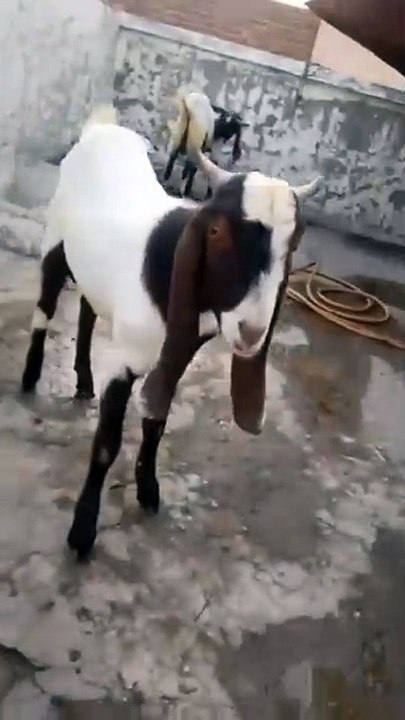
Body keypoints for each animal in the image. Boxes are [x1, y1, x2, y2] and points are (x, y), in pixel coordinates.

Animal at [21, 105, 322, 560]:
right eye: (216, 231)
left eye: (294, 242)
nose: (252, 332)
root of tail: (101, 128)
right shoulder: (126, 355)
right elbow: (108, 442)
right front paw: (82, 532)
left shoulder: (180, 349)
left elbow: (157, 419)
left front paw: (148, 490)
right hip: (55, 239)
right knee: (46, 307)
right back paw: (30, 378)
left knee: (88, 312)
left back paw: (84, 382)